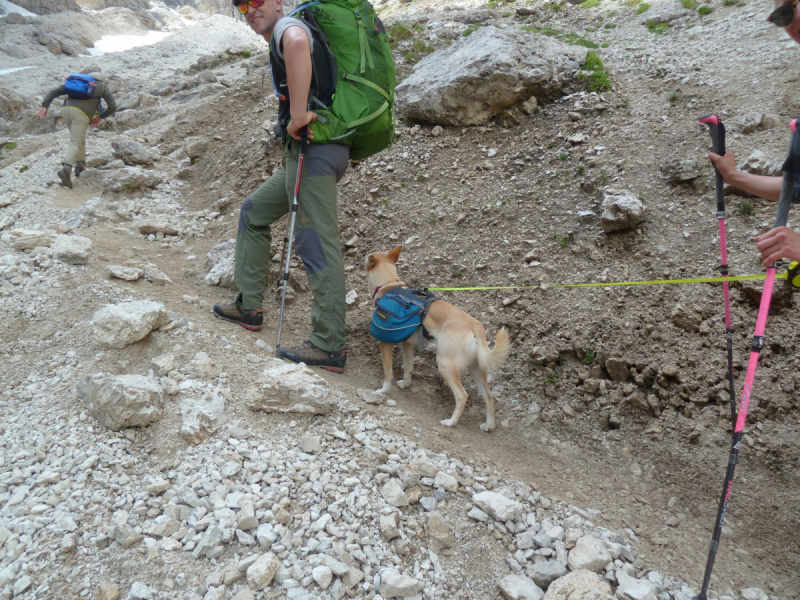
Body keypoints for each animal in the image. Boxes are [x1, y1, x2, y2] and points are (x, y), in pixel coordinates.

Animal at [366, 247, 510, 432]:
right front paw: (406, 383)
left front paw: (383, 391)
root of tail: (475, 324)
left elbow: (387, 371)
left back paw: (451, 422)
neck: (389, 285)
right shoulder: (406, 343)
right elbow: (408, 366)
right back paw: (489, 425)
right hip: (476, 369)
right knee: (488, 396)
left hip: (445, 365)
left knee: (462, 395)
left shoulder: (385, 343)